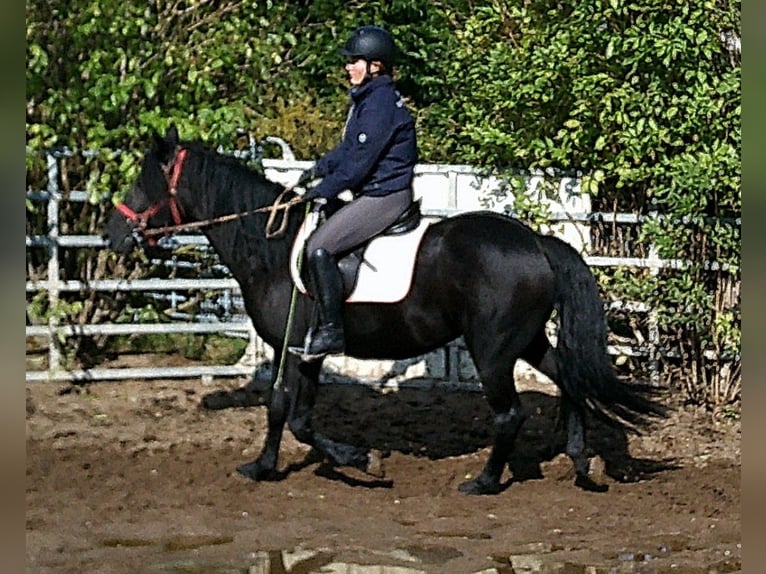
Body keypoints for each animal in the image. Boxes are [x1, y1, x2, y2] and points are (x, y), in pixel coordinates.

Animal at [104, 125, 666, 495]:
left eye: (142, 181)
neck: (272, 247)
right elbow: (290, 412)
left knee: (510, 412)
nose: (112, 234)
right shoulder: (303, 350)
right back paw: (580, 464)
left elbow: (291, 415)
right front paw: (267, 466)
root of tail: (536, 242)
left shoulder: (296, 347)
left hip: (493, 350)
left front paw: (358, 461)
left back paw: (484, 481)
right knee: (569, 379)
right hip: (525, 340)